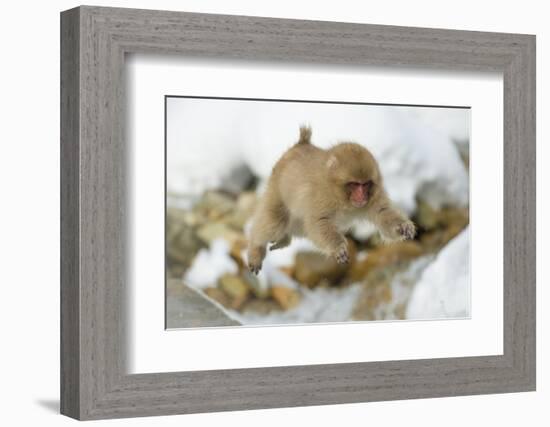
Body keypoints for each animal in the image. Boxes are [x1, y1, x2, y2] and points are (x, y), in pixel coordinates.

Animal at [248, 125, 416, 276]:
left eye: (365, 184)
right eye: (355, 184)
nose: (362, 196)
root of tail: (300, 144)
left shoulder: (375, 195)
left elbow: (383, 213)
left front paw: (403, 226)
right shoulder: (321, 197)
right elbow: (319, 222)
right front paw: (338, 248)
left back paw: (284, 240)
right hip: (276, 190)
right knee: (274, 222)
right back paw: (256, 248)